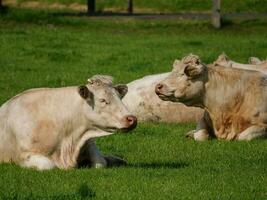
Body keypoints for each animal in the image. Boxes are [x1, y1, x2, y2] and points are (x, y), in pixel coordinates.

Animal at [0, 76, 138, 170]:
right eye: (102, 100)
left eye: (119, 97)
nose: (132, 119)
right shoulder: (23, 155)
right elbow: (48, 165)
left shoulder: (88, 142)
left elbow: (100, 162)